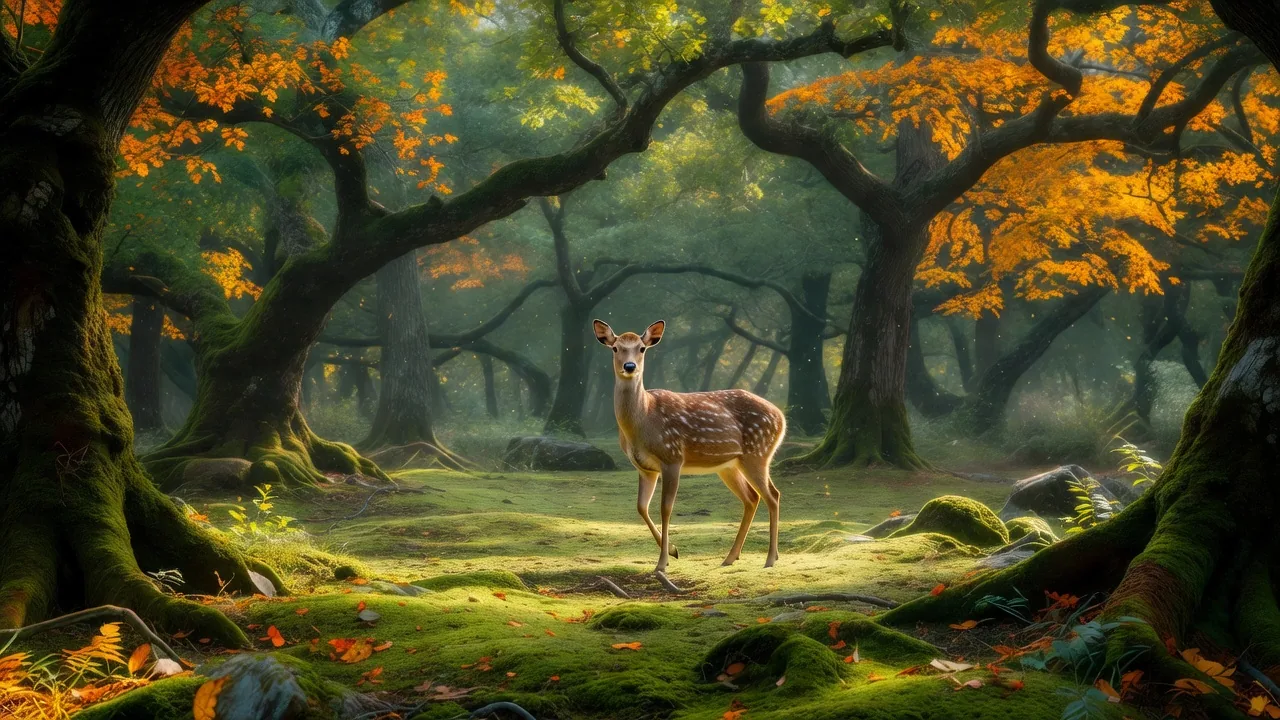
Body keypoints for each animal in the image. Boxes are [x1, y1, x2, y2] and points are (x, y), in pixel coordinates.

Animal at [594, 319, 785, 573]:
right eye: (615, 348)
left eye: (642, 348)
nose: (630, 366)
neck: (643, 420)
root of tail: (781, 417)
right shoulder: (645, 468)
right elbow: (641, 507)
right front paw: (673, 551)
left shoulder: (672, 457)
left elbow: (665, 508)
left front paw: (662, 562)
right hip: (729, 465)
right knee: (752, 498)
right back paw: (730, 557)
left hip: (758, 453)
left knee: (772, 495)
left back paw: (770, 559)